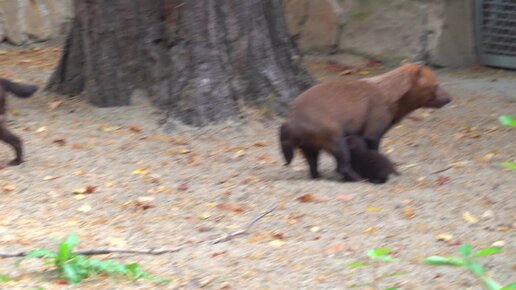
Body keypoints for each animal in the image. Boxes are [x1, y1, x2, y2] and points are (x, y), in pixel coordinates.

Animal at [280, 62, 450, 180]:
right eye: (436, 84)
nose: (449, 98)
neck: (389, 96)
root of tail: (290, 120)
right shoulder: (374, 129)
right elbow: (373, 149)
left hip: (309, 144)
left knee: (312, 163)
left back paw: (319, 176)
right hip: (333, 135)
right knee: (342, 164)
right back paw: (357, 178)